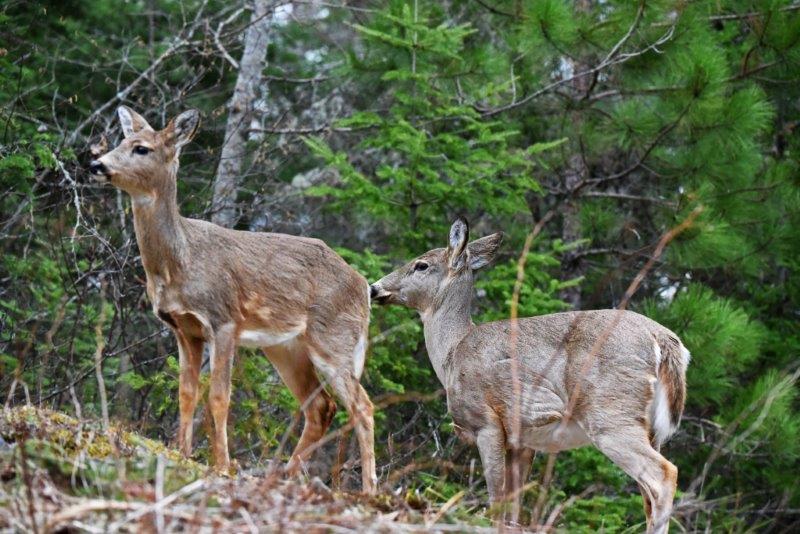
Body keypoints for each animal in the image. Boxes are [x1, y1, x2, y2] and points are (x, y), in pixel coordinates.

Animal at [88, 106, 377, 493]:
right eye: (121, 141)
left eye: (142, 148)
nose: (96, 164)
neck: (179, 263)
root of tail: (363, 287)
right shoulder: (183, 328)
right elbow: (186, 393)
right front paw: (183, 453)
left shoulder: (224, 319)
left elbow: (219, 396)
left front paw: (222, 465)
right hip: (285, 347)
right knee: (321, 407)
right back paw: (284, 475)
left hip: (334, 339)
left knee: (362, 406)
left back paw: (369, 489)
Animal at [369, 218, 690, 533]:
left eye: (421, 265)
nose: (374, 288)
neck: (452, 352)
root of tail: (664, 340)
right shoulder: (522, 440)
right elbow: (514, 509)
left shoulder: (488, 421)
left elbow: (496, 500)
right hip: (650, 428)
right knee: (648, 495)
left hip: (610, 414)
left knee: (664, 474)